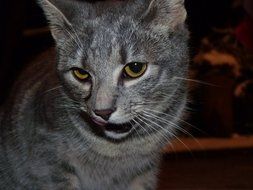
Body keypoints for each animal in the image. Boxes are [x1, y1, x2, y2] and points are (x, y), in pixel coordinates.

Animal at [0, 0, 189, 189]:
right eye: (81, 73)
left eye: (135, 68)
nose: (102, 111)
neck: (119, 150)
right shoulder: (48, 163)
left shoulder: (145, 174)